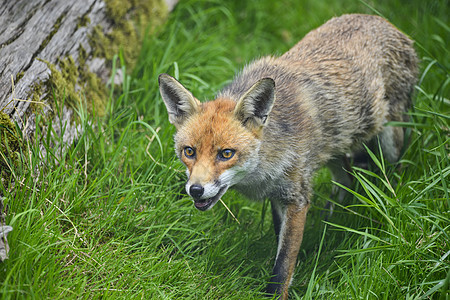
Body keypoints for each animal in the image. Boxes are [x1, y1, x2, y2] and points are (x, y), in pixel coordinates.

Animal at [158, 13, 418, 298]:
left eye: (226, 154)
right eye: (189, 152)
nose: (195, 190)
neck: (264, 167)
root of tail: (381, 20)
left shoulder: (296, 197)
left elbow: (283, 265)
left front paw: (278, 290)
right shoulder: (277, 195)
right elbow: (280, 243)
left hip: (391, 140)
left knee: (393, 172)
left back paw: (388, 206)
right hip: (335, 148)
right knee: (347, 179)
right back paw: (331, 219)